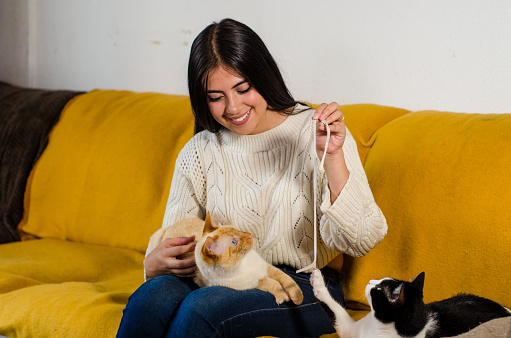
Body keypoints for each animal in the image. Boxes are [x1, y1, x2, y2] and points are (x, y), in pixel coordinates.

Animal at [148, 213, 302, 304]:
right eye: (234, 242)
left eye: (237, 230)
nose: (250, 235)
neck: (243, 263)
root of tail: (171, 226)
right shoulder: (255, 282)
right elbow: (273, 284)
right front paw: (283, 297)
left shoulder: (267, 267)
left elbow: (287, 280)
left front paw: (297, 298)